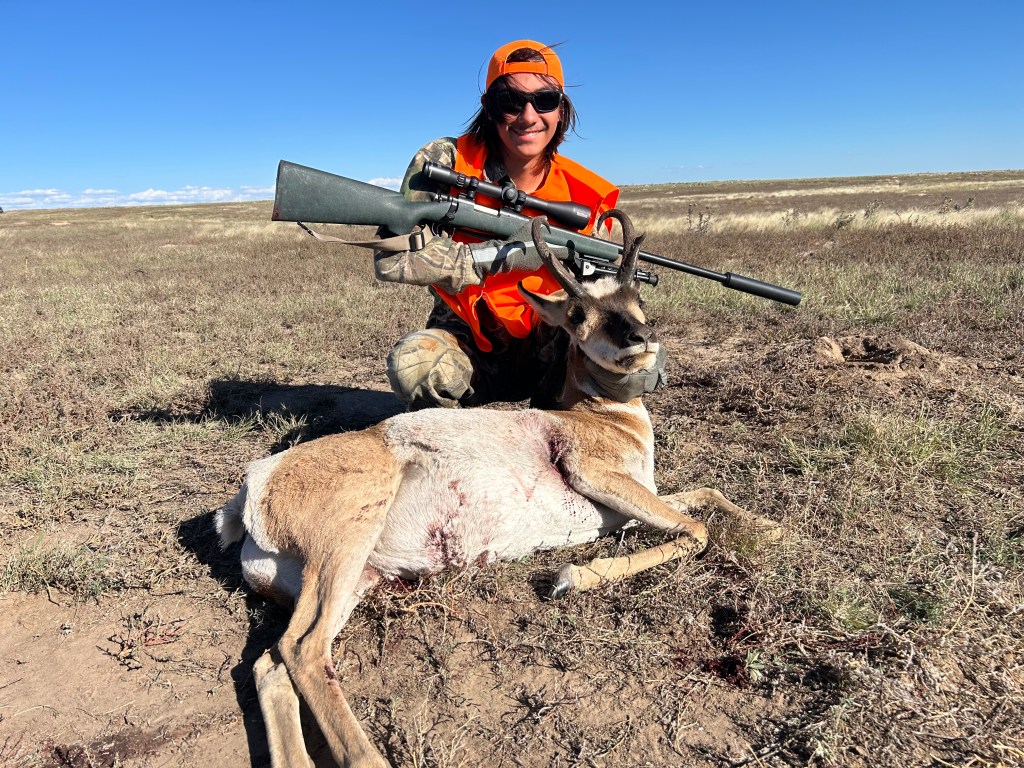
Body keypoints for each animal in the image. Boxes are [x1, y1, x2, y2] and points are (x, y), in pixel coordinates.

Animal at [215, 210, 770, 768]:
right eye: (576, 313)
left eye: (637, 298)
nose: (639, 337)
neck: (605, 417)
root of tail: (254, 485)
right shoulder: (600, 477)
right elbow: (696, 530)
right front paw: (570, 577)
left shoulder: (638, 502)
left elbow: (706, 494)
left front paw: (769, 527)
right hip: (346, 544)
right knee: (302, 650)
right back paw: (369, 757)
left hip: (352, 579)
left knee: (270, 664)